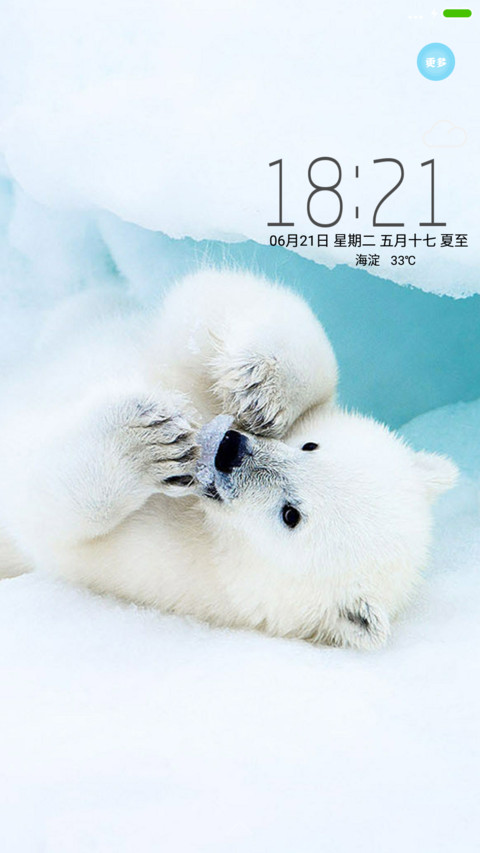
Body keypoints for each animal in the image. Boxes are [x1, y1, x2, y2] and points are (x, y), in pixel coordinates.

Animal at [0, 269, 458, 649]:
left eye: (290, 515)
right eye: (311, 446)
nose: (228, 449)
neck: (209, 527)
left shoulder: (165, 568)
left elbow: (46, 513)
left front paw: (145, 444)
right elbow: (214, 298)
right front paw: (261, 389)